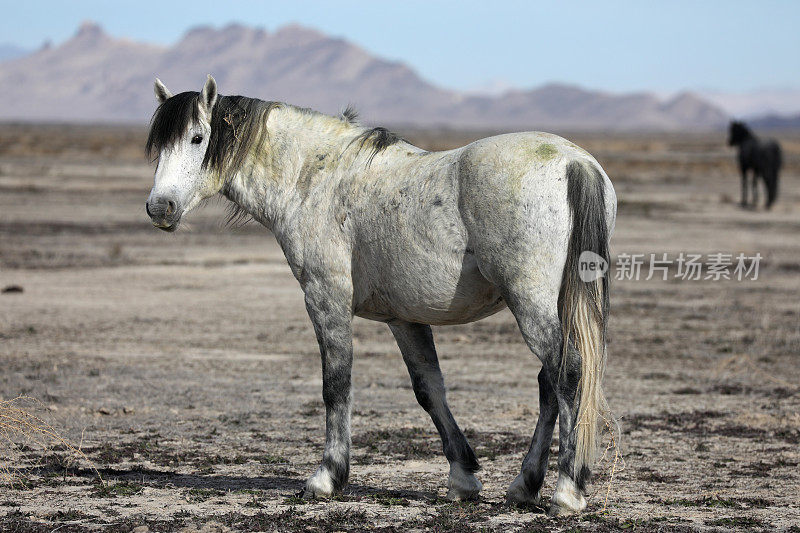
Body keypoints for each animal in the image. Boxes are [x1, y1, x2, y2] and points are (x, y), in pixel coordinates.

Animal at [145, 76, 620, 516]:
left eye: (198, 137)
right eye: (160, 145)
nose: (159, 208)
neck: (313, 178)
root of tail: (575, 162)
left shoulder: (326, 299)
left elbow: (336, 385)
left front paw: (327, 477)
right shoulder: (404, 318)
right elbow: (429, 390)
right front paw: (463, 478)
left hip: (530, 302)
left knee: (567, 373)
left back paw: (566, 490)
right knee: (548, 384)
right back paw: (525, 485)